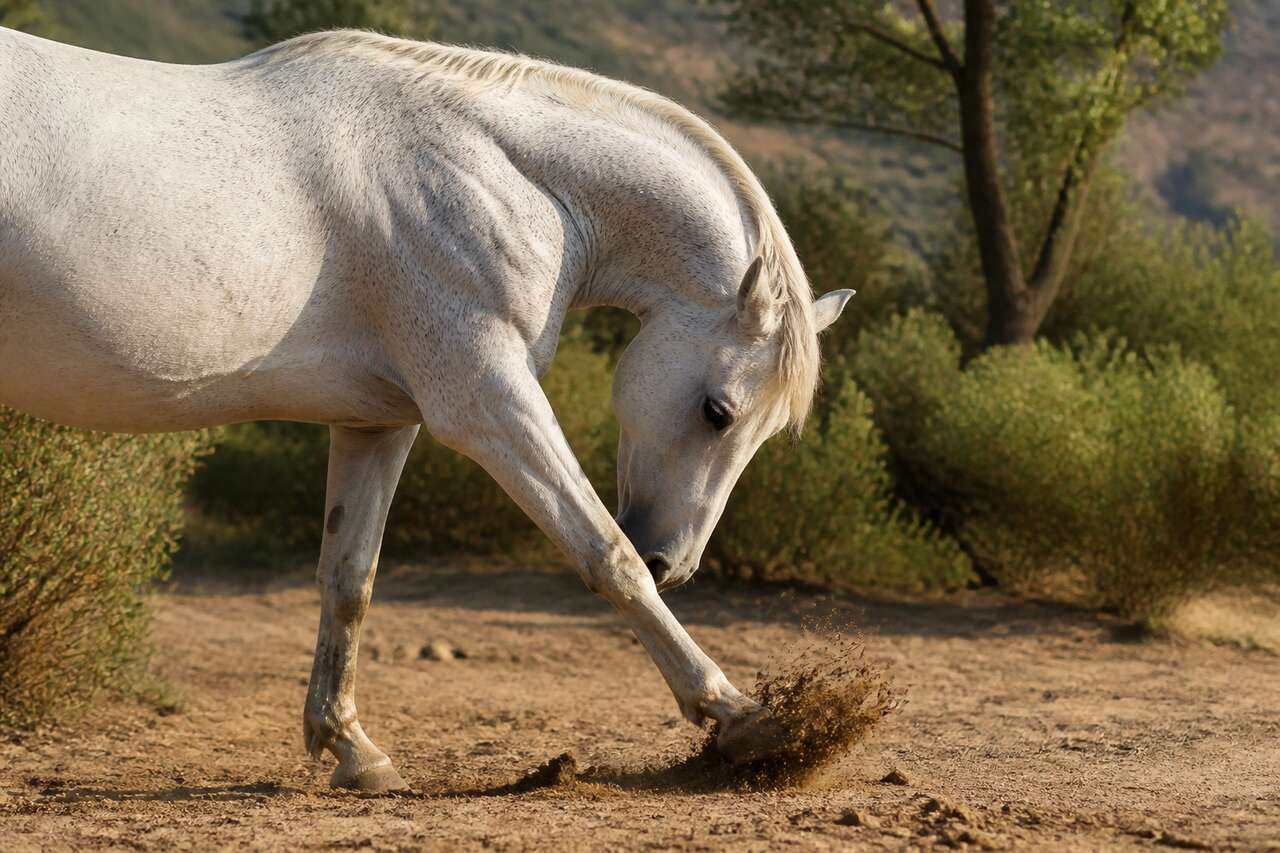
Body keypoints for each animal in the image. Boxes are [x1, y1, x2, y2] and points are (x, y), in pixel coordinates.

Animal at [0, 27, 853, 791]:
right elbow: (604, 554)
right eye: (717, 411)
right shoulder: (488, 401)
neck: (494, 174)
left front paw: (352, 749)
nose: (672, 561)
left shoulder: (378, 423)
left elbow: (349, 578)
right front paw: (746, 718)